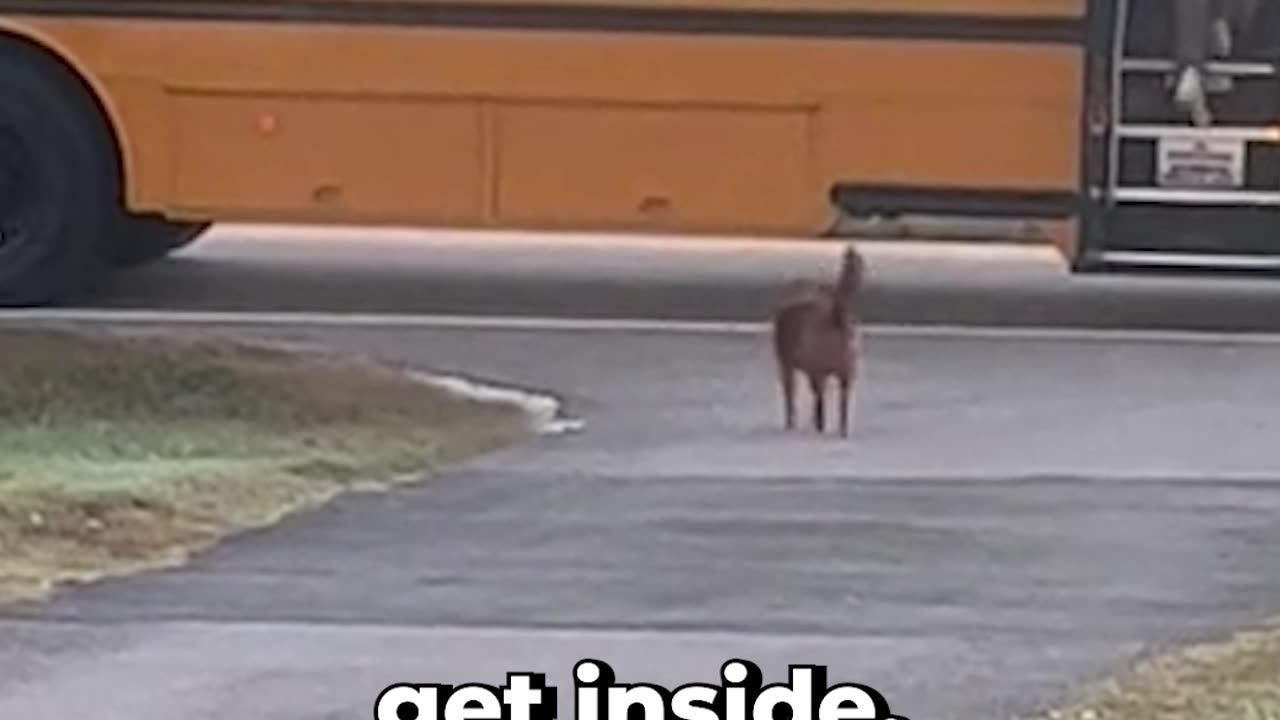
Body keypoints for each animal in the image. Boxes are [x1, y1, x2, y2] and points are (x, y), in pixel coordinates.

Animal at [773, 240, 865, 435]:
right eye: (845, 261)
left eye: (860, 260)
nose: (852, 274)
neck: (835, 323)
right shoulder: (818, 370)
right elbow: (821, 404)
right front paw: (820, 427)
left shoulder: (846, 373)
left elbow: (843, 407)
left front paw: (843, 432)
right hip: (785, 361)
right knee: (790, 393)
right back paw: (791, 424)